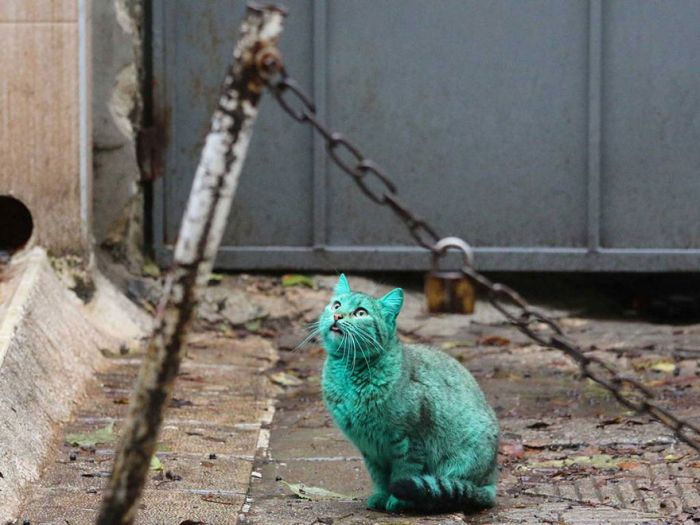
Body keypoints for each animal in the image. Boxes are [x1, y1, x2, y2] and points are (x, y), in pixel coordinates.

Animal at [318, 274, 498, 512]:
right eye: (337, 305)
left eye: (361, 313)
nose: (337, 315)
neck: (349, 371)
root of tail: (491, 483)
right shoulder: (369, 448)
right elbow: (379, 477)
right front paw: (381, 496)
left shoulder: (409, 441)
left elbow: (403, 473)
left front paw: (397, 500)